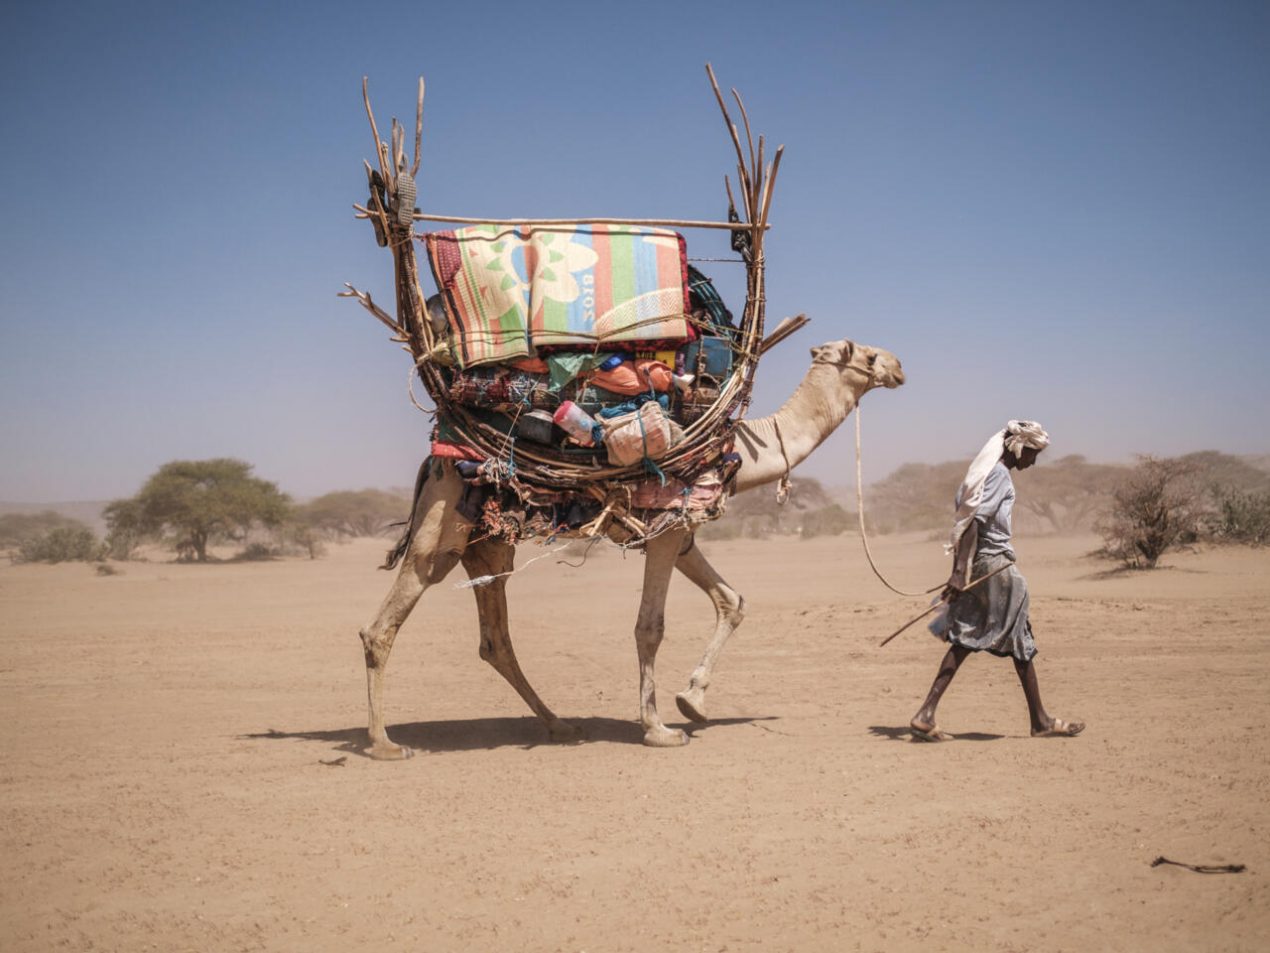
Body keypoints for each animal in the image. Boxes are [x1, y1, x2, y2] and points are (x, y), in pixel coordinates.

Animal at [358, 337, 904, 759]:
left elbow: (732, 601)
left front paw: (693, 701)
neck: (737, 452)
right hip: (443, 527)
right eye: (868, 354)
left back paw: (559, 725)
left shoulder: (680, 532)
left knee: (496, 640)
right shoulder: (665, 533)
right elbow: (650, 627)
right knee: (385, 622)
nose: (899, 367)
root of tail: (434, 461)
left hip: (488, 547)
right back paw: (384, 743)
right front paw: (659, 729)